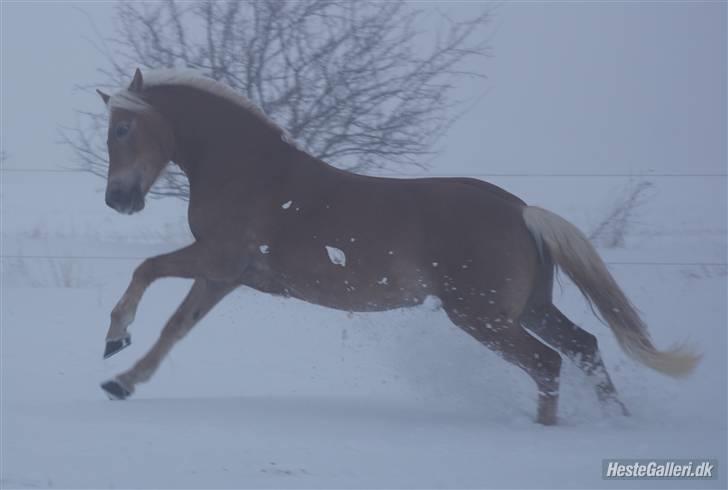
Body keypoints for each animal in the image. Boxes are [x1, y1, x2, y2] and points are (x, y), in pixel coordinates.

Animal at [94, 68, 696, 424]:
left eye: (122, 128)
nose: (116, 200)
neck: (248, 171)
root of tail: (522, 212)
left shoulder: (217, 258)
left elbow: (146, 270)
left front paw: (114, 341)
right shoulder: (224, 275)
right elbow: (177, 326)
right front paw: (122, 381)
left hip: (480, 315)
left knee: (549, 363)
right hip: (528, 308)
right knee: (585, 347)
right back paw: (617, 421)